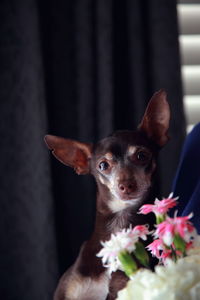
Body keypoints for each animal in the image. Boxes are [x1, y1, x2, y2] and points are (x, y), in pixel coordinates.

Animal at [44, 89, 170, 300]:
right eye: (103, 165)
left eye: (141, 156)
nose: (126, 185)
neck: (119, 223)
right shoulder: (67, 293)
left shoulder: (127, 287)